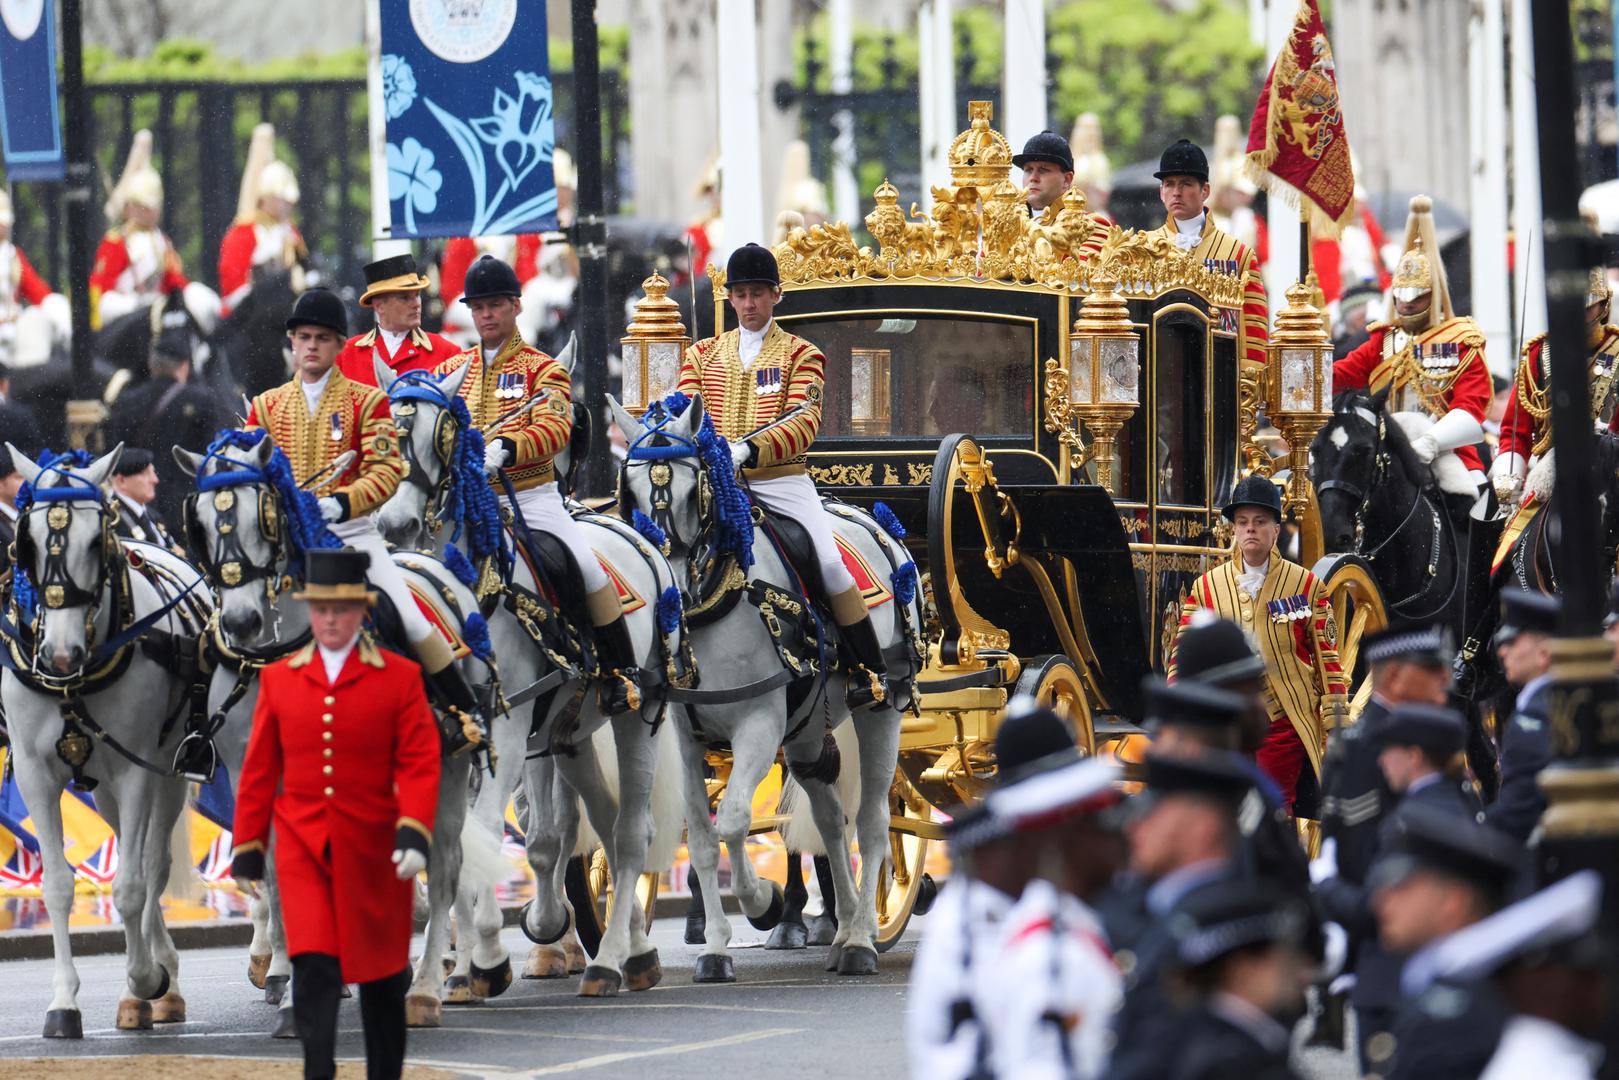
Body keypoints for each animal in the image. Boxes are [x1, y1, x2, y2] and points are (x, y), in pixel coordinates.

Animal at [1, 443, 213, 1036]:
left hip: (164, 776)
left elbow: (132, 884)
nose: (60, 654)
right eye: (27, 541)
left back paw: (158, 982)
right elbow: (57, 883)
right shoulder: (35, 774)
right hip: (102, 791)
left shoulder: (137, 771)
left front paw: (144, 978)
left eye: (96, 541)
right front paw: (63, 1003)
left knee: (153, 865)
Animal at [173, 430, 495, 1029]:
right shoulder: (258, 774)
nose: (243, 622)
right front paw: (294, 979)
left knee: (443, 869)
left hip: (448, 766)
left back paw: (425, 988)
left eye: (263, 514)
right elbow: (280, 874)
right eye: (200, 521)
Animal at [372, 354, 683, 997]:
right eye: (383, 434)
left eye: (439, 435)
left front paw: (491, 953)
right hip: (571, 734)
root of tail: (637, 535)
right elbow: (456, 845)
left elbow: (491, 834)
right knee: (602, 826)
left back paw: (611, 959)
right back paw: (626, 945)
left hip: (637, 714)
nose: (396, 523)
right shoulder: (455, 740)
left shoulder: (510, 732)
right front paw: (458, 963)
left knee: (630, 833)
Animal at [611, 395, 926, 977]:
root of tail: (878, 523)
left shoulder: (758, 723)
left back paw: (860, 939)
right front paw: (716, 949)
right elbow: (703, 835)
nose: (671, 602)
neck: (719, 600)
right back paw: (842, 924)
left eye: (695, 491)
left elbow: (734, 819)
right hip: (805, 732)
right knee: (830, 818)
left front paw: (763, 902)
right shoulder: (686, 738)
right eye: (633, 492)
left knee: (873, 821)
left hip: (881, 708)